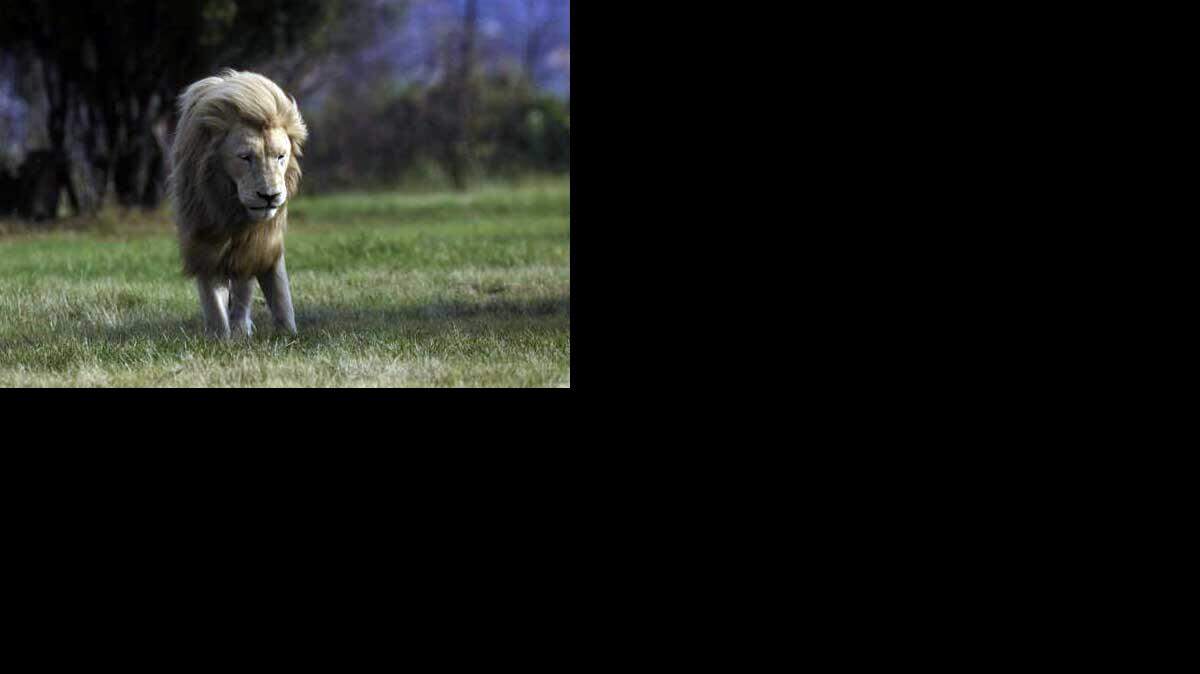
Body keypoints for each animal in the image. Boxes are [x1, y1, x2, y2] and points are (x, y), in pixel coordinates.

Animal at [169, 69, 308, 338]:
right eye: (245, 157)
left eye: (281, 156)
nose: (269, 196)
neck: (231, 209)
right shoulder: (203, 239)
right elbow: (213, 299)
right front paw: (218, 338)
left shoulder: (260, 241)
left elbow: (274, 293)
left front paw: (286, 334)